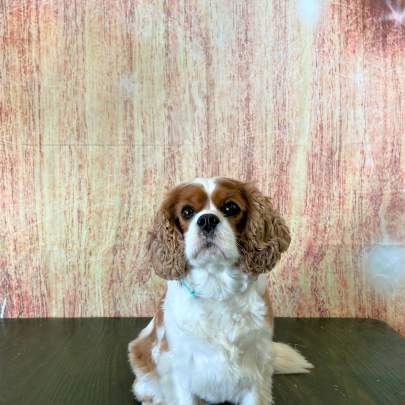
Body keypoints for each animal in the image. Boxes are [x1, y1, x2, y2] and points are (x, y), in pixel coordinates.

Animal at [128, 178, 310, 404]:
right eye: (187, 211)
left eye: (231, 208)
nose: (207, 220)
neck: (216, 286)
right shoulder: (178, 369)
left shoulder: (256, 366)